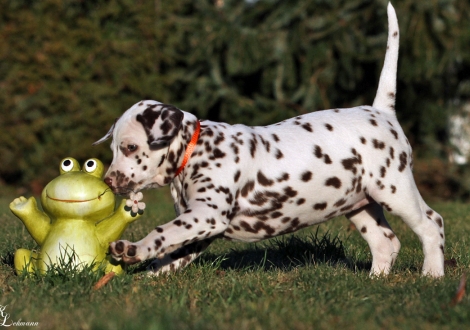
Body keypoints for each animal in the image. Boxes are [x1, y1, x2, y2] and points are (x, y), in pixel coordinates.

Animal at [94, 3, 444, 278]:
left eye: (130, 148)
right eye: (113, 149)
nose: (109, 182)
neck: (196, 151)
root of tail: (380, 110)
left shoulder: (207, 214)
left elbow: (161, 232)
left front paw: (133, 249)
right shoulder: (199, 224)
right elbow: (171, 254)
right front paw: (144, 276)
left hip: (395, 190)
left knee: (431, 224)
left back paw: (432, 275)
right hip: (360, 205)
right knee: (386, 241)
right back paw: (375, 280)